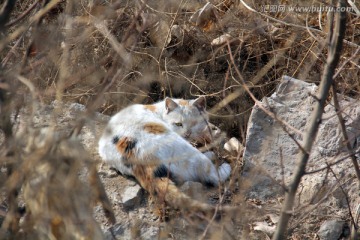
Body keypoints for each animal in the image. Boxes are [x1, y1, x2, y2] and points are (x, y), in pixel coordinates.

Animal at [98, 96, 232, 187]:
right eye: (178, 124)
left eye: (194, 123)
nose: (187, 133)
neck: (158, 110)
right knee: (215, 177)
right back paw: (222, 164)